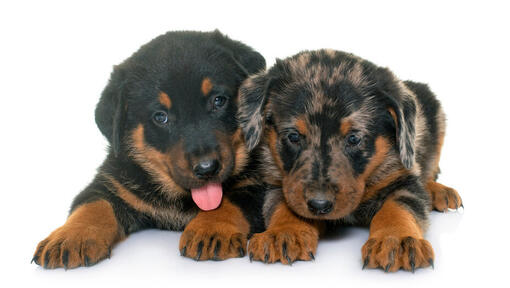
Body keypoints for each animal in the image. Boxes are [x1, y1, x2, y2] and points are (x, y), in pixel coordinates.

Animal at [31, 30, 266, 268]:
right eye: (160, 117)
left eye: (219, 101)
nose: (207, 168)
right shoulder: (111, 182)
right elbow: (92, 205)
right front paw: (70, 237)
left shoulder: (260, 184)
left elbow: (231, 199)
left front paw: (210, 228)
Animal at [239, 50, 462, 272]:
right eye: (293, 136)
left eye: (354, 138)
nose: (319, 205)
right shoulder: (280, 182)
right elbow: (285, 206)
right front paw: (284, 233)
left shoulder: (402, 178)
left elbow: (399, 207)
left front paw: (396, 239)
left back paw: (439, 191)